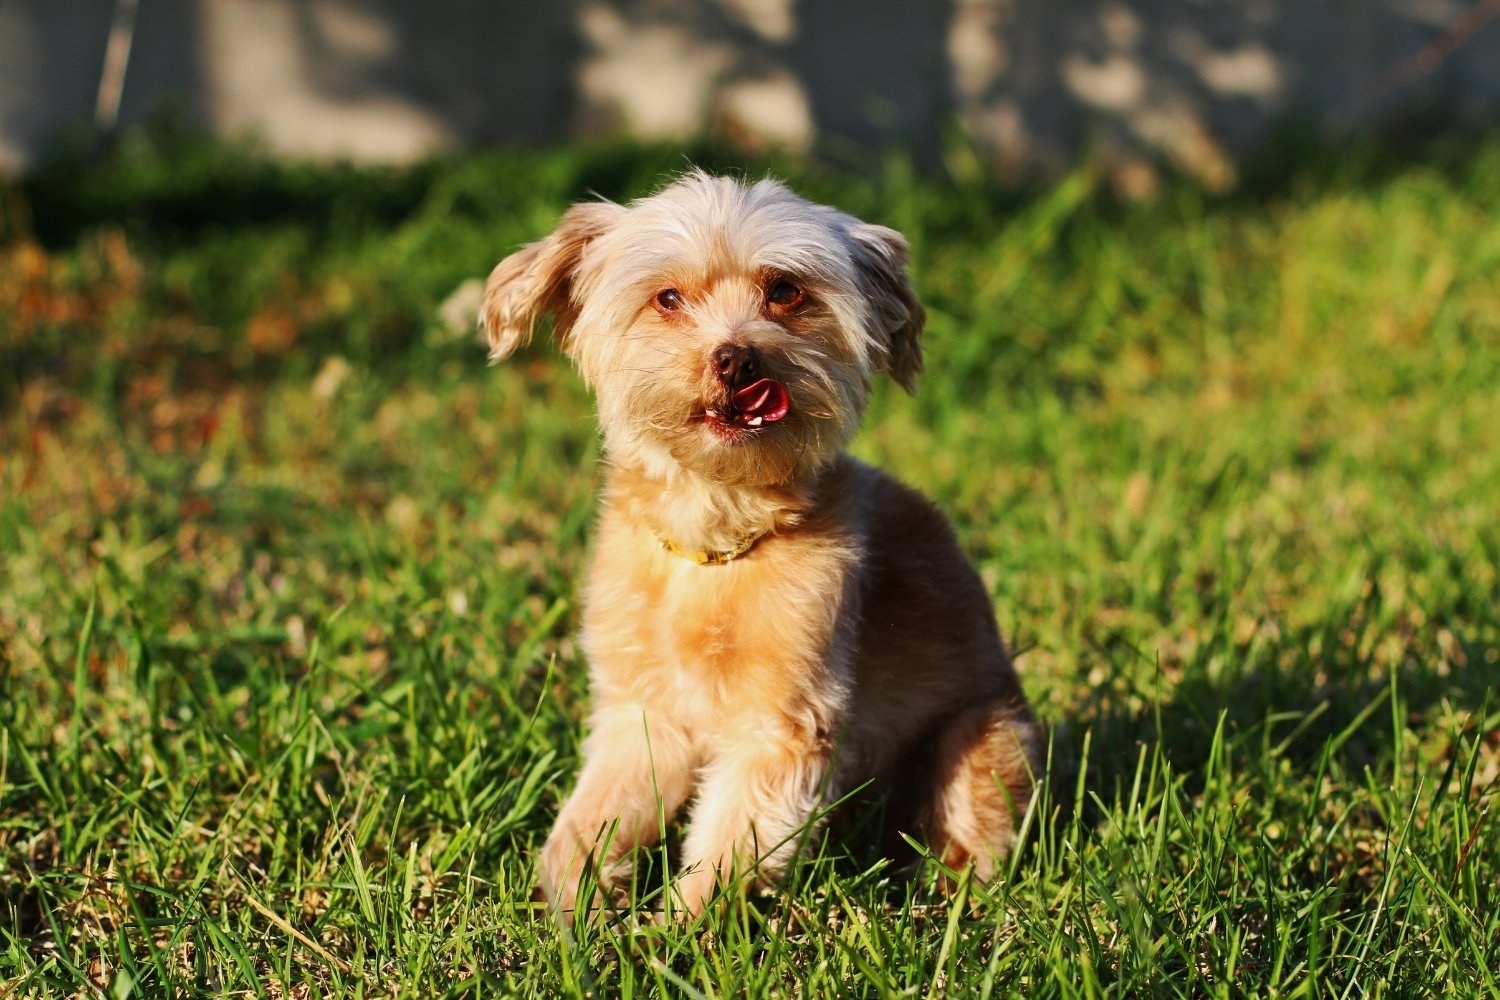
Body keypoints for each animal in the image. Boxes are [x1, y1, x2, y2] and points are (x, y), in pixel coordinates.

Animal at [480, 172, 1044, 923]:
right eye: (667, 298)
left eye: (785, 290)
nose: (736, 356)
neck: (715, 537)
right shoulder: (643, 717)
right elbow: (588, 823)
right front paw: (576, 909)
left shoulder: (782, 725)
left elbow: (727, 845)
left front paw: (672, 932)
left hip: (984, 738)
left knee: (969, 832)